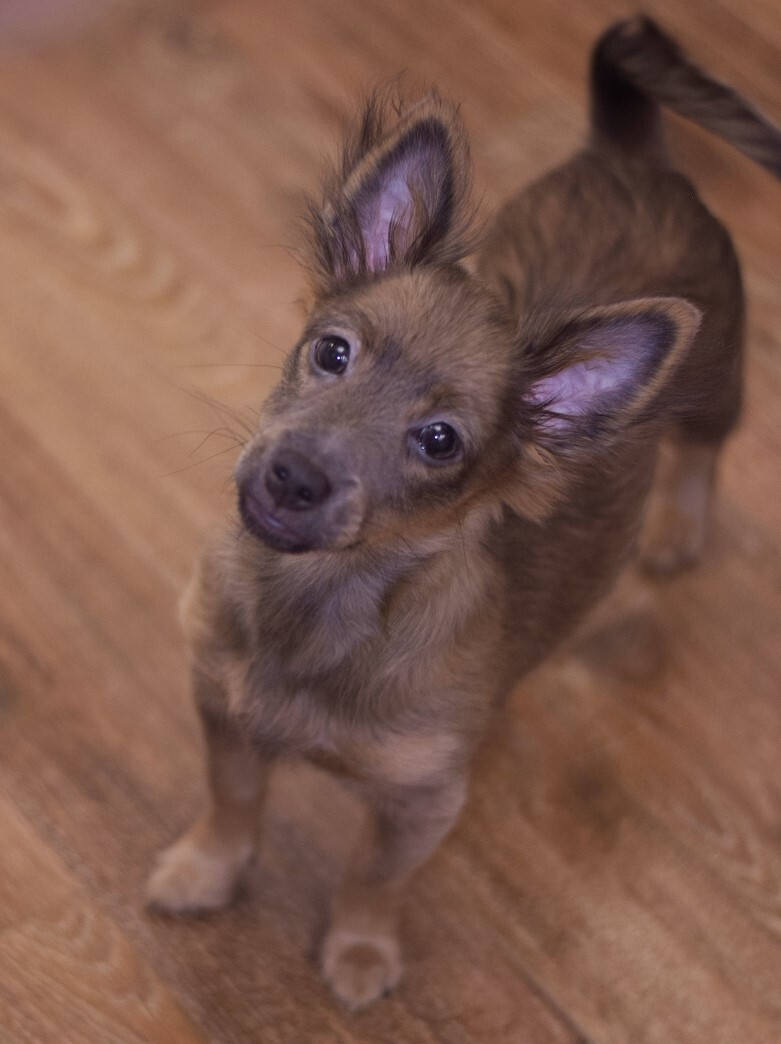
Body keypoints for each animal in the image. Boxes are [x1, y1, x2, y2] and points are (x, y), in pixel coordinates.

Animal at [147, 18, 781, 1009]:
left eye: (439, 442)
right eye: (332, 352)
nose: (293, 478)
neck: (322, 604)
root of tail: (626, 152)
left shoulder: (419, 803)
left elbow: (371, 876)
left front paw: (359, 953)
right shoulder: (221, 707)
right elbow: (233, 802)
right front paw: (204, 871)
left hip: (712, 374)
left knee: (703, 450)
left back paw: (677, 530)